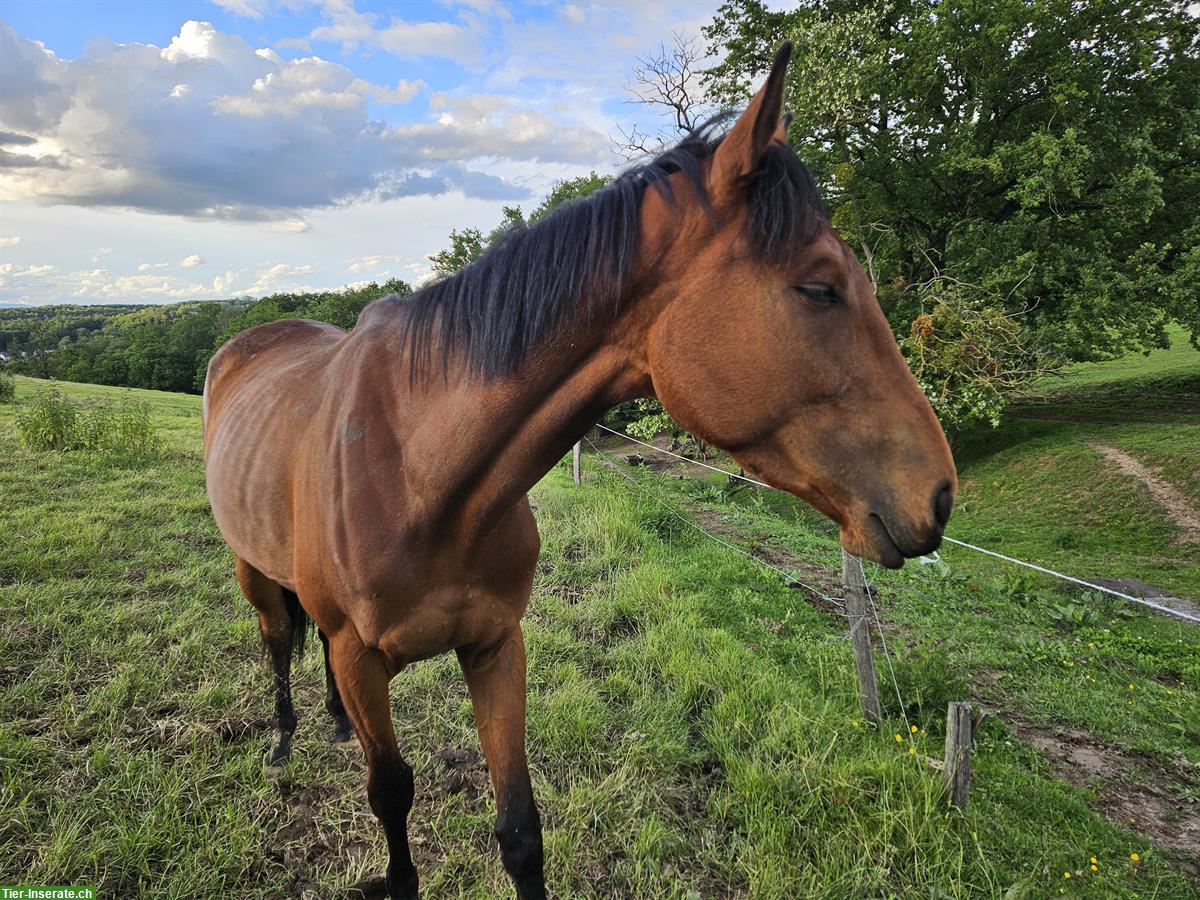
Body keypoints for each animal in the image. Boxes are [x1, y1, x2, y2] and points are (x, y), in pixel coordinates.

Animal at [204, 44, 955, 900]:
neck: (419, 475)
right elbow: (390, 794)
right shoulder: (365, 662)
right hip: (252, 573)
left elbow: (520, 830)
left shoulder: (495, 646)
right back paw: (284, 738)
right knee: (275, 641)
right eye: (820, 287)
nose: (939, 495)